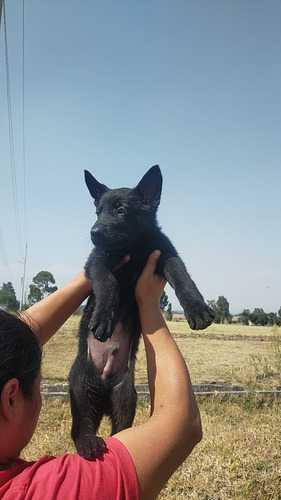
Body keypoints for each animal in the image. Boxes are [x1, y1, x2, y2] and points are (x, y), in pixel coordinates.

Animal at [69, 166, 213, 458]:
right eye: (97, 211)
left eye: (121, 210)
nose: (94, 232)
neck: (132, 248)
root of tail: (104, 382)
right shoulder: (96, 260)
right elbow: (108, 282)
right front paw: (104, 317)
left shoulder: (167, 254)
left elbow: (183, 278)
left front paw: (197, 309)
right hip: (82, 385)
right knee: (82, 426)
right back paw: (89, 443)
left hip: (126, 394)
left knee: (120, 427)